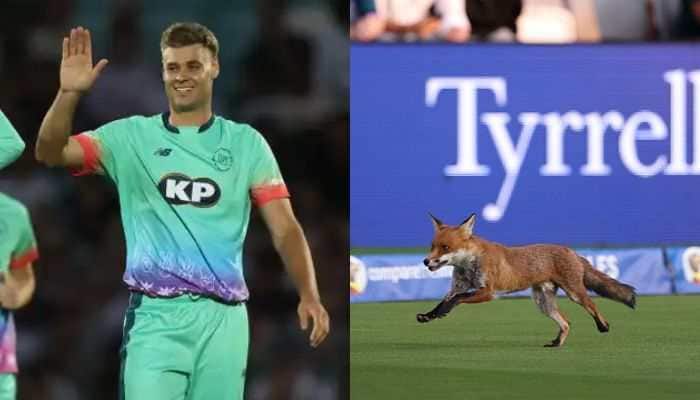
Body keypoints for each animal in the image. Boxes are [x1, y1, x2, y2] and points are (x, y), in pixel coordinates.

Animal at [418, 213, 637, 347]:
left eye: (445, 247)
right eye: (432, 246)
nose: (425, 261)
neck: (469, 265)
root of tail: (571, 250)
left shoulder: (487, 292)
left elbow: (458, 300)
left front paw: (442, 312)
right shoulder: (457, 287)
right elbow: (443, 302)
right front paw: (430, 315)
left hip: (574, 293)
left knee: (592, 305)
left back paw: (603, 325)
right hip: (543, 303)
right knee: (566, 322)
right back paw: (556, 343)